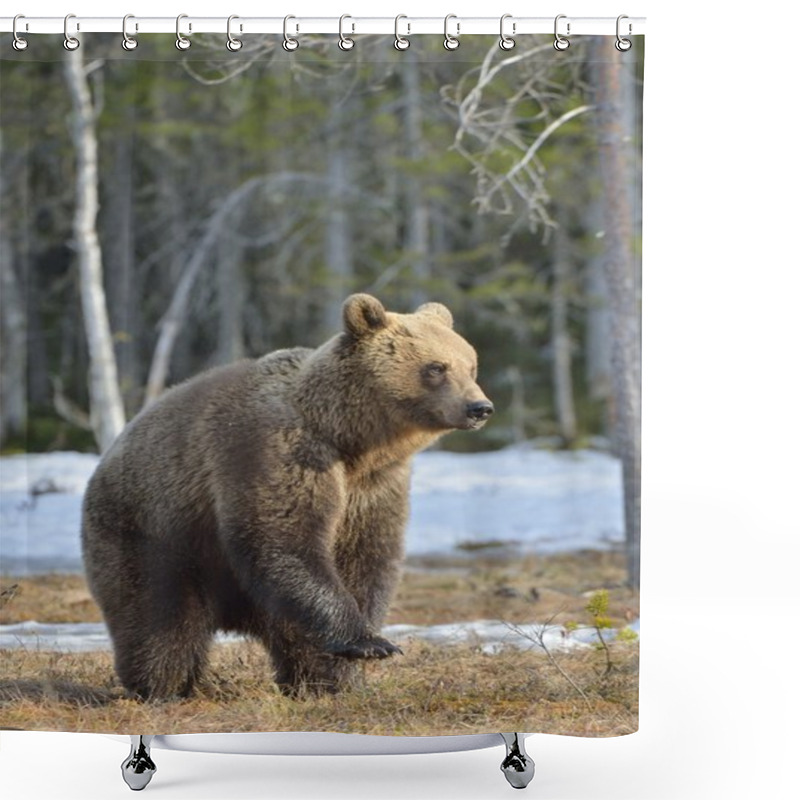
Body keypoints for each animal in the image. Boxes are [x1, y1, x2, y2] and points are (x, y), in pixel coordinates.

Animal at [83, 296, 494, 700]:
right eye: (436, 367)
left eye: (471, 365)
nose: (480, 407)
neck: (351, 440)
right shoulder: (280, 453)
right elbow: (286, 538)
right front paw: (370, 644)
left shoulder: (375, 486)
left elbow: (366, 558)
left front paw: (353, 661)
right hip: (154, 530)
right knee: (159, 616)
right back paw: (162, 686)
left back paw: (313, 682)